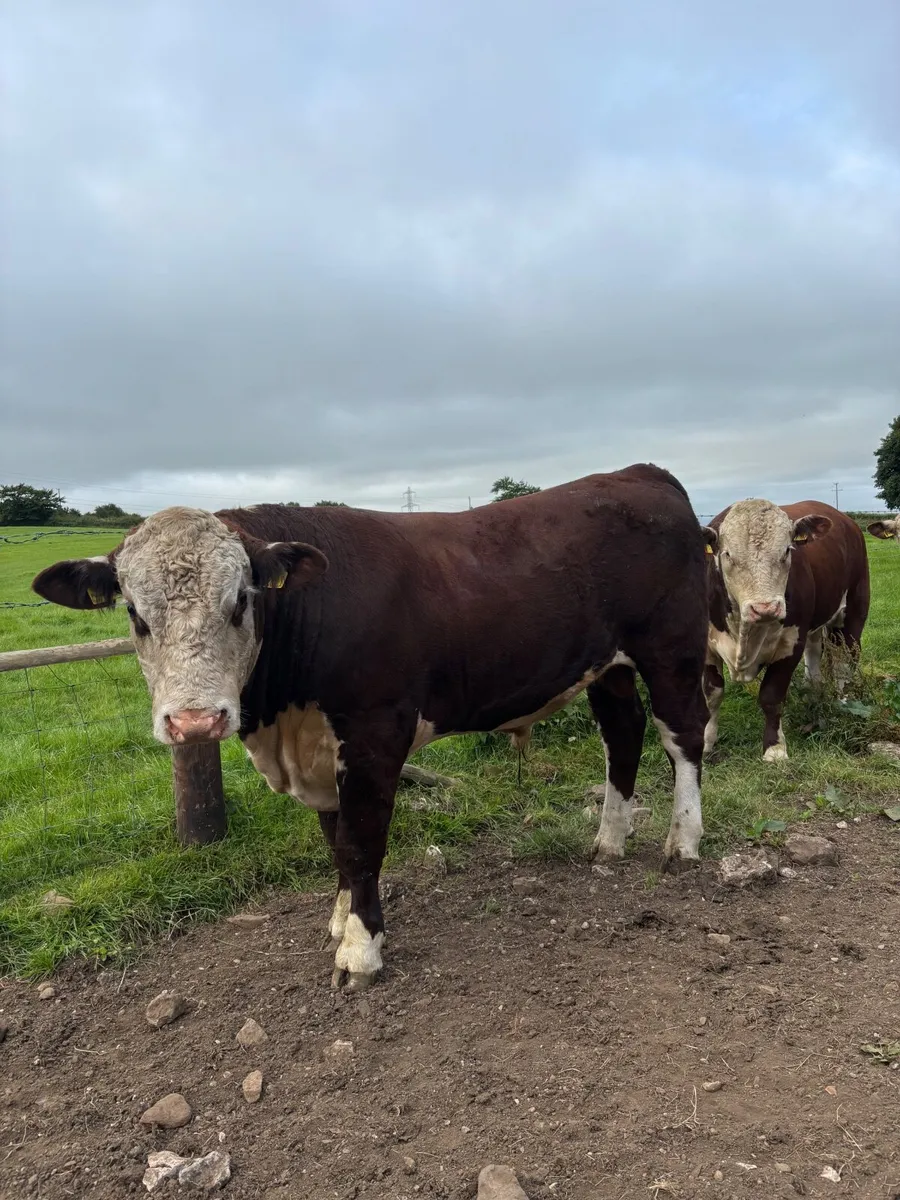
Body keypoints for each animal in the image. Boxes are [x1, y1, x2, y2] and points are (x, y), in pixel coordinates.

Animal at [33, 464, 711, 991]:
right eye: (134, 612)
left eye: (241, 600)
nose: (195, 720)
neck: (281, 722)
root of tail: (642, 473)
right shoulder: (317, 748)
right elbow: (335, 838)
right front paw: (340, 917)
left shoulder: (374, 733)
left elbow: (362, 841)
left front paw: (359, 950)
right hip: (608, 666)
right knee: (622, 734)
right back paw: (609, 841)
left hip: (672, 648)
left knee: (683, 736)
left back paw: (683, 842)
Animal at [701, 499, 870, 762]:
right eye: (727, 554)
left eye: (787, 551)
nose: (766, 608)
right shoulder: (707, 646)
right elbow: (713, 695)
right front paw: (707, 742)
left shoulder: (790, 644)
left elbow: (771, 697)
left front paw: (775, 748)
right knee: (815, 654)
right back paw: (812, 692)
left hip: (853, 611)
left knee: (845, 661)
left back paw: (844, 702)